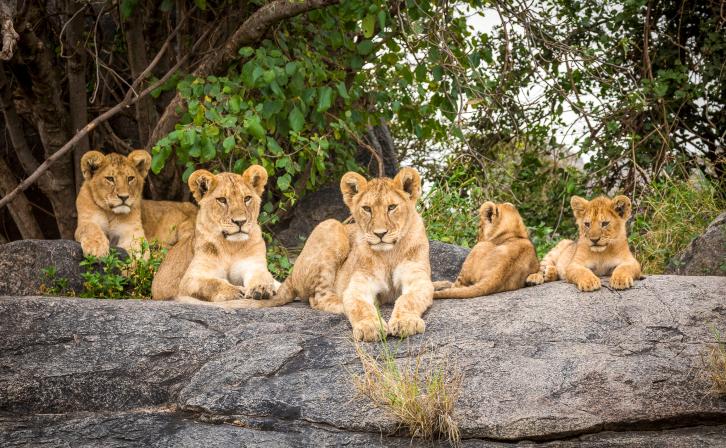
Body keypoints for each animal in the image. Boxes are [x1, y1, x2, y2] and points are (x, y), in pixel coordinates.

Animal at [151, 166, 280, 308]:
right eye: (222, 200)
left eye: (247, 198)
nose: (240, 222)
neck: (231, 246)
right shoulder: (191, 278)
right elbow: (212, 284)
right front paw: (236, 291)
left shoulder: (254, 265)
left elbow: (262, 276)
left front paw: (261, 288)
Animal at [272, 168, 434, 341]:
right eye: (367, 209)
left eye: (392, 207)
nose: (380, 234)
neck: (388, 254)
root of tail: (292, 272)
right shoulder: (358, 285)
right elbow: (360, 306)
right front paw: (370, 326)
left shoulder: (418, 280)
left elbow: (408, 299)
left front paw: (406, 322)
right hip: (332, 226)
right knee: (318, 297)